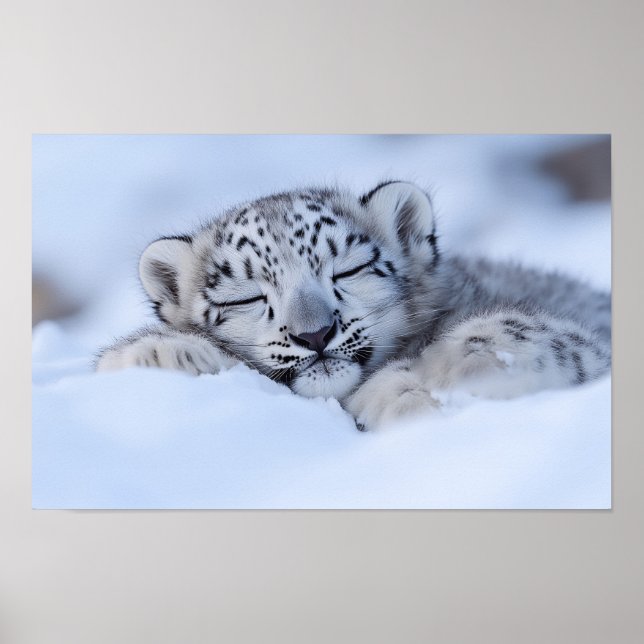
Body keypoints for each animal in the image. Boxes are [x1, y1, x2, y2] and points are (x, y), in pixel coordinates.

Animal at [96, 181, 611, 431]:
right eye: (248, 297)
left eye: (347, 270)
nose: (314, 333)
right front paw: (156, 353)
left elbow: (528, 331)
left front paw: (444, 372)